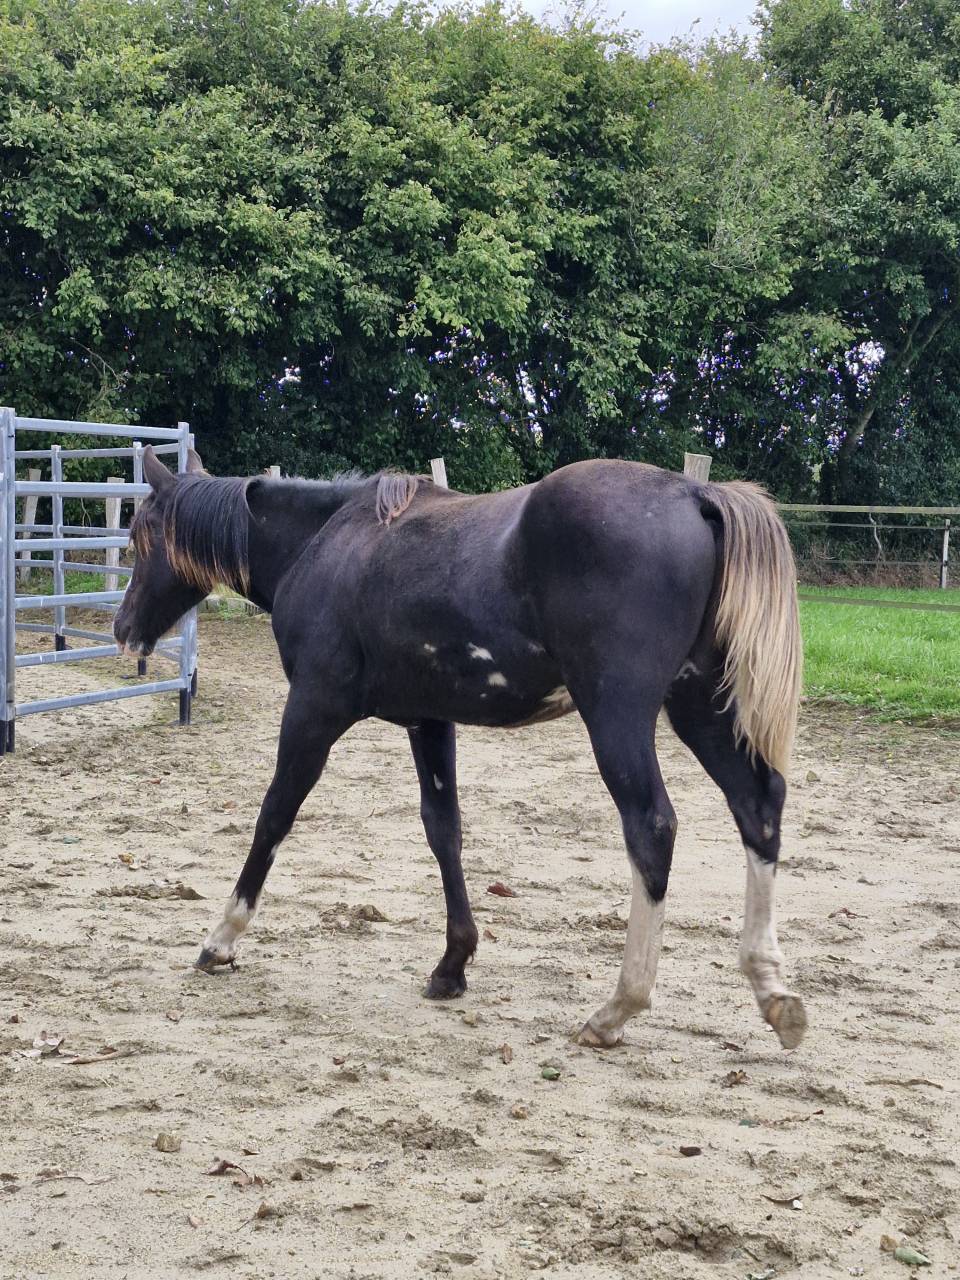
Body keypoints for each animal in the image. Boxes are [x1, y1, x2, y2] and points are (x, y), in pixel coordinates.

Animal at [113, 447, 806, 1051]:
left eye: (142, 536)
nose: (123, 630)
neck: (328, 541)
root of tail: (697, 495)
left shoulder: (314, 709)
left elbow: (275, 814)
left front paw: (221, 938)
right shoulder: (428, 720)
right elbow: (443, 829)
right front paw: (453, 963)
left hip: (619, 713)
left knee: (652, 826)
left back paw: (617, 1009)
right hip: (700, 707)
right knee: (757, 806)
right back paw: (772, 992)